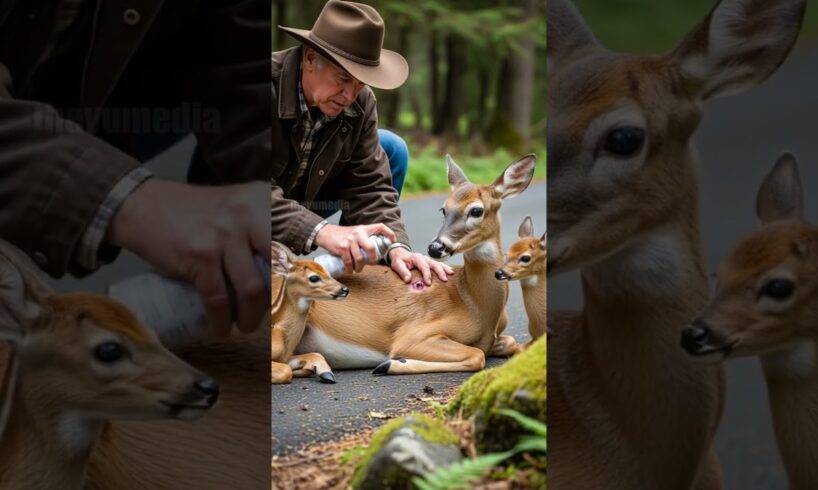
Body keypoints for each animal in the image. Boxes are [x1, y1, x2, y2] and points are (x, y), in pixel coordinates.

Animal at [270, 241, 349, 384]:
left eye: (328, 272)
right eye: (314, 278)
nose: (344, 289)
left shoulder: (285, 356)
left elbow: (315, 354)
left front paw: (325, 373)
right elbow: (286, 371)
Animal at [296, 154, 537, 374]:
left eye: (476, 210)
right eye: (444, 209)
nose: (435, 248)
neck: (477, 304)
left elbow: (509, 343)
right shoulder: (413, 335)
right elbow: (477, 355)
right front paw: (393, 363)